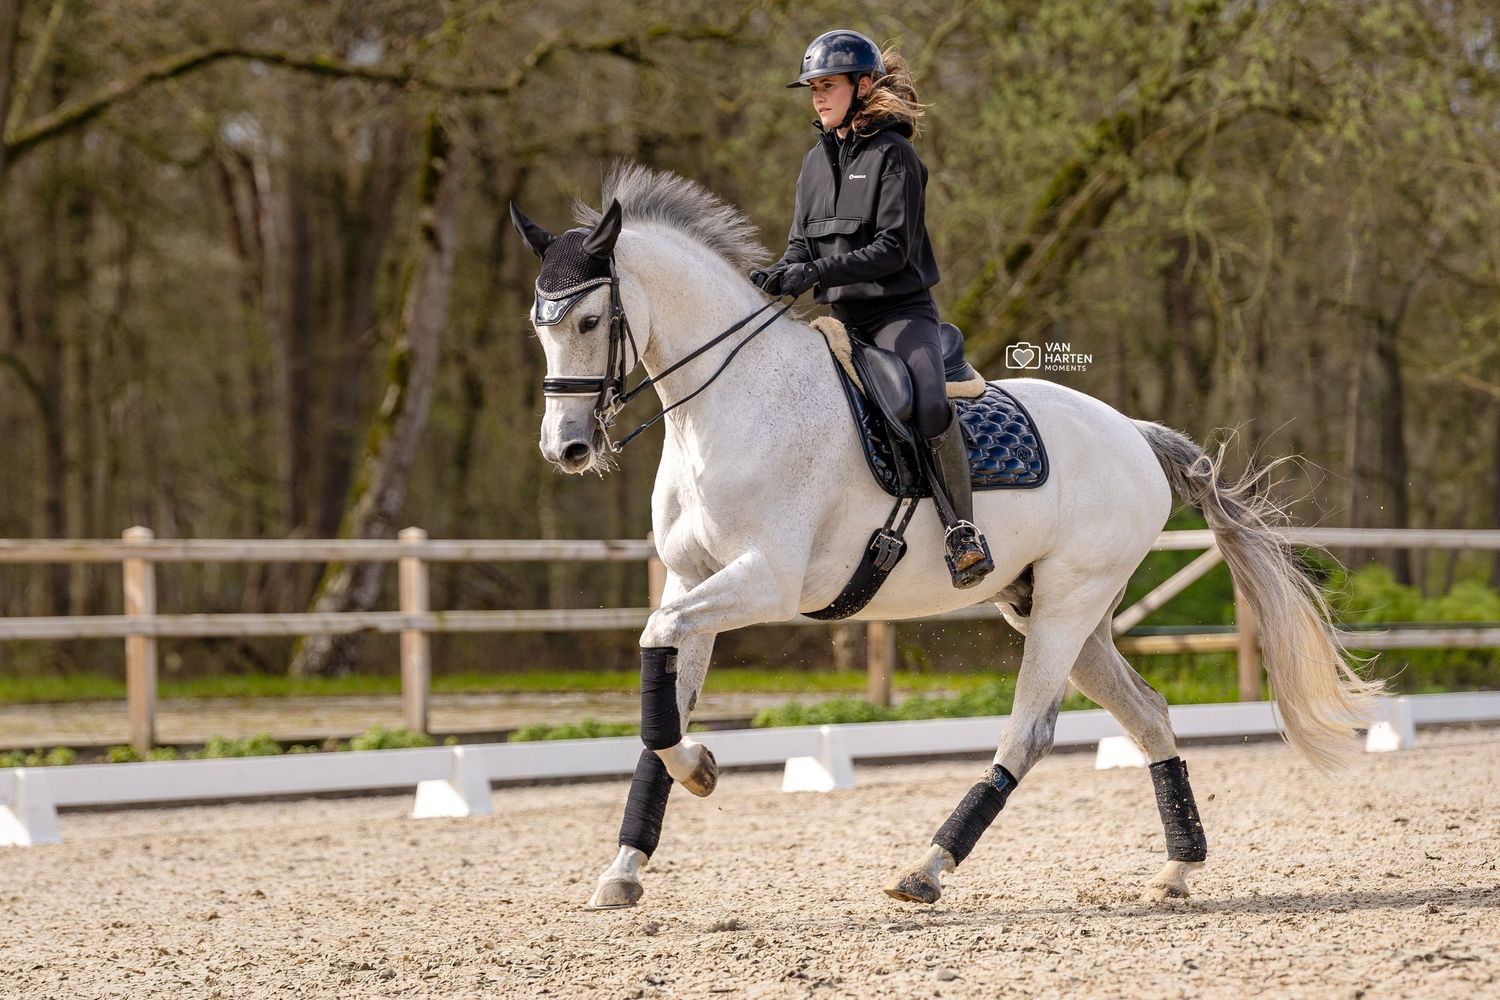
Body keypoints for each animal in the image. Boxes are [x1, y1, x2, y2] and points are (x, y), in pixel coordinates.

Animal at [508, 162, 1380, 910]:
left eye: (592, 319)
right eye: (538, 326)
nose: (566, 448)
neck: (727, 406)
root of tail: (1131, 432)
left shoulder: (764, 582)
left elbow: (659, 654)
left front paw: (700, 770)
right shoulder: (696, 582)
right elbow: (661, 701)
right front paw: (628, 864)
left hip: (1067, 606)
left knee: (1028, 733)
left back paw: (926, 869)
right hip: (1063, 613)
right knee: (1150, 716)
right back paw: (1176, 871)